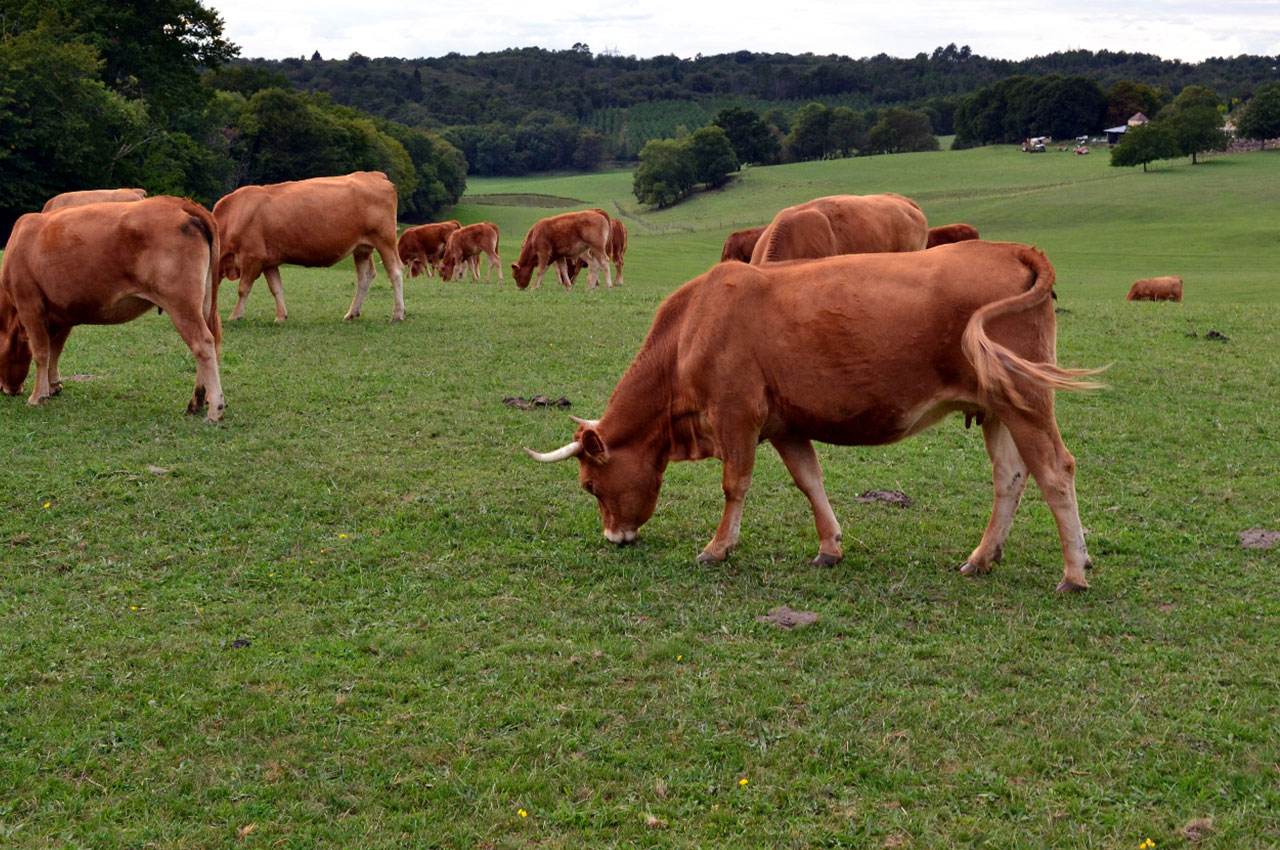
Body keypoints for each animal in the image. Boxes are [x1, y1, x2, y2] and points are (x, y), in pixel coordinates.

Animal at [0, 199, 225, 425]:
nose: (7, 390)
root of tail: (177, 202)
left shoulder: (29, 304)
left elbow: (41, 352)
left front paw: (38, 396)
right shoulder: (63, 312)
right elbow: (55, 350)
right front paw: (53, 385)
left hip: (181, 303)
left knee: (203, 344)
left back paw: (215, 409)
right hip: (205, 305)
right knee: (213, 342)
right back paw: (197, 401)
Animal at [213, 170, 404, 322]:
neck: (234, 216)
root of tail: (373, 175)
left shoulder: (252, 257)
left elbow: (243, 289)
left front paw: (235, 315)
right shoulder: (268, 261)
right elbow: (276, 289)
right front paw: (281, 316)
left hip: (385, 241)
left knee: (395, 273)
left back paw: (397, 314)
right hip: (362, 248)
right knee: (365, 276)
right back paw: (352, 313)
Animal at [524, 241, 1105, 593]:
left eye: (590, 487)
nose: (613, 538)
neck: (693, 327)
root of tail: (1008, 247)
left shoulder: (736, 415)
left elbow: (734, 485)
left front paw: (718, 547)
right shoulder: (786, 425)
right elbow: (810, 481)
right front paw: (829, 547)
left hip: (1027, 400)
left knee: (1056, 472)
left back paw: (1074, 571)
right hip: (997, 409)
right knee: (1010, 477)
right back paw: (984, 556)